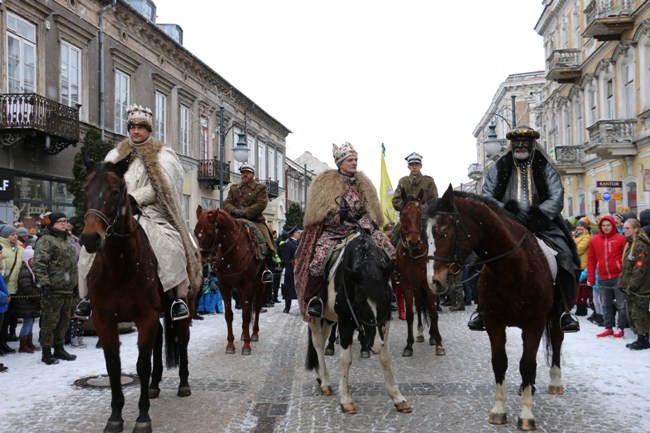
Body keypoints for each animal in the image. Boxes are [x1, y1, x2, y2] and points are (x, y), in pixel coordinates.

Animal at [79, 159, 191, 432]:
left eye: (115, 191)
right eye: (84, 191)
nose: (90, 238)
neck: (119, 265)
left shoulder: (145, 317)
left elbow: (142, 364)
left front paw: (142, 417)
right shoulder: (104, 319)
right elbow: (113, 365)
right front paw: (115, 416)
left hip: (183, 305)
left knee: (182, 341)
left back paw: (183, 384)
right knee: (159, 340)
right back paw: (154, 385)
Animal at [192, 206, 266, 354]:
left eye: (209, 232)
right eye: (195, 232)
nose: (200, 260)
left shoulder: (247, 286)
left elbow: (246, 315)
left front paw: (247, 346)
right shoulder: (224, 286)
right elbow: (229, 315)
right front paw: (230, 345)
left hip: (259, 286)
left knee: (256, 307)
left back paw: (254, 333)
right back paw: (243, 334)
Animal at [392, 188, 442, 354]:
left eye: (421, 214)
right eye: (403, 214)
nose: (414, 241)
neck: (414, 255)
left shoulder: (429, 284)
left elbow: (433, 312)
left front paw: (438, 343)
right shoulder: (406, 284)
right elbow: (410, 314)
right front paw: (409, 345)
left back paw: (432, 336)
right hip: (416, 287)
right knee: (419, 305)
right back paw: (420, 333)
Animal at [426, 184, 560, 430]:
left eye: (442, 231)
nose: (434, 282)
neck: (511, 268)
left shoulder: (534, 323)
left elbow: (527, 364)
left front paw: (526, 415)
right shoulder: (493, 322)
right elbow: (500, 363)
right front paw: (498, 411)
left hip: (556, 317)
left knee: (557, 339)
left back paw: (556, 381)